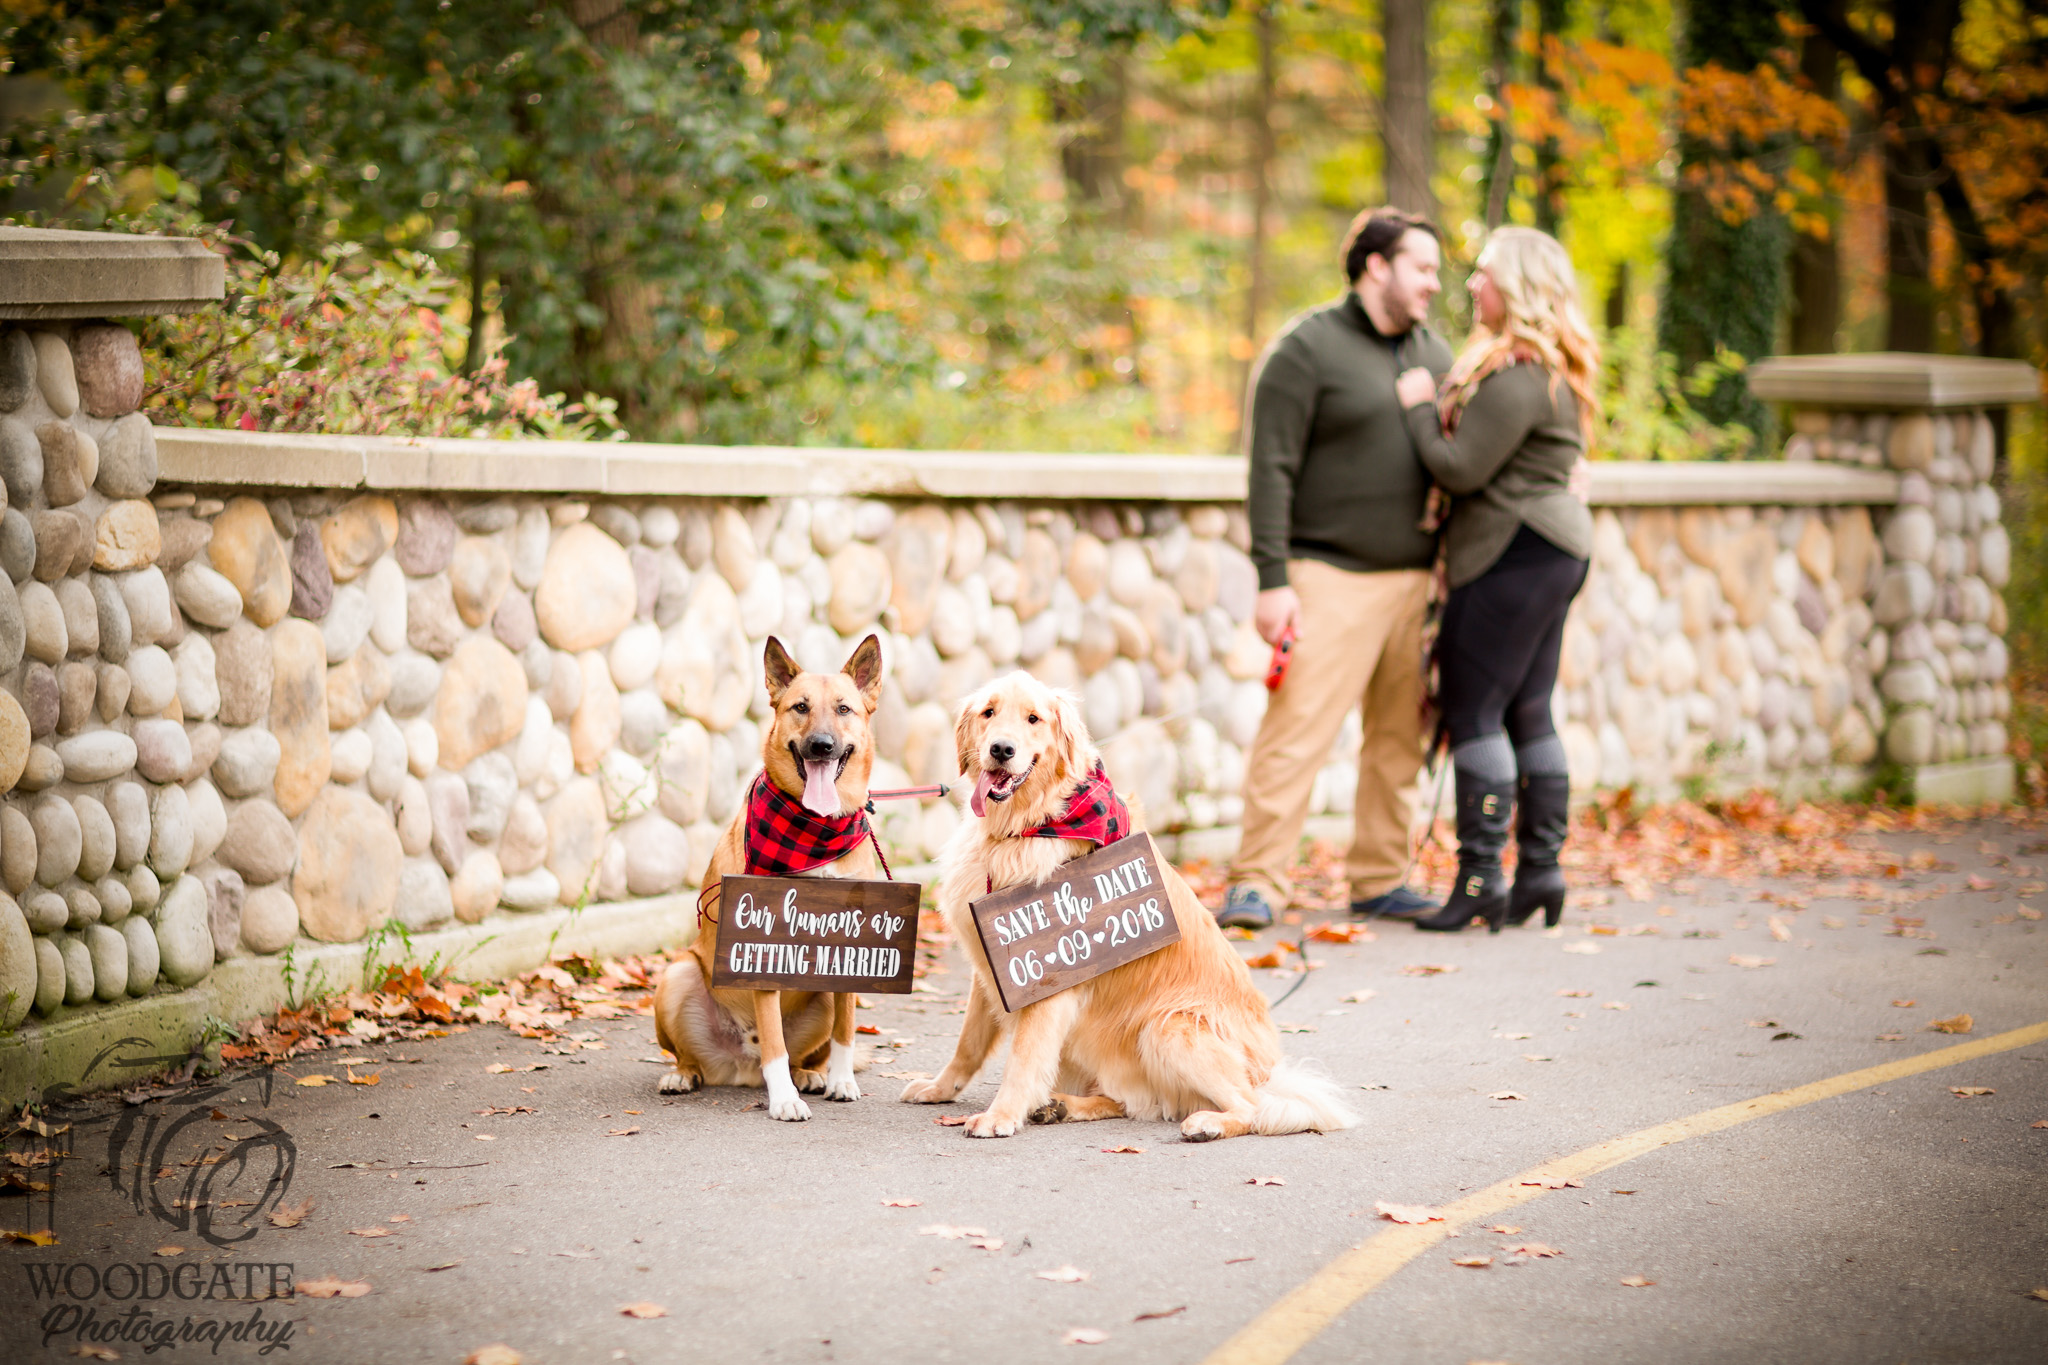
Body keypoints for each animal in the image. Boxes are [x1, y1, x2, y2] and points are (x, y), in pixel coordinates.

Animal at [651, 634, 884, 1121]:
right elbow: (776, 1039)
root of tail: (742, 1065)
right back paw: (685, 1074)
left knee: (804, 1053)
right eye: (800, 707)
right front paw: (783, 1101)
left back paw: (810, 1075)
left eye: (844, 709)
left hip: (819, 996)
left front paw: (841, 1081)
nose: (821, 745)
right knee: (701, 1055)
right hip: (677, 974)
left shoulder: (850, 954)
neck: (815, 828)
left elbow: (847, 1031)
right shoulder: (761, 951)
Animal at [901, 671, 1351, 1146]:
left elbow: (1022, 1056)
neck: (1025, 828)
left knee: (1250, 1107)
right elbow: (967, 1044)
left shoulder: (1048, 977)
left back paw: (1206, 1123)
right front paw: (939, 1088)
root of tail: (1268, 1072)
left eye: (1033, 719)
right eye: (989, 712)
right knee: (1128, 1101)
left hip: (1168, 1027)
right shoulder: (992, 969)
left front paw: (1000, 1115)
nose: (1001, 749)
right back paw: (1060, 1106)